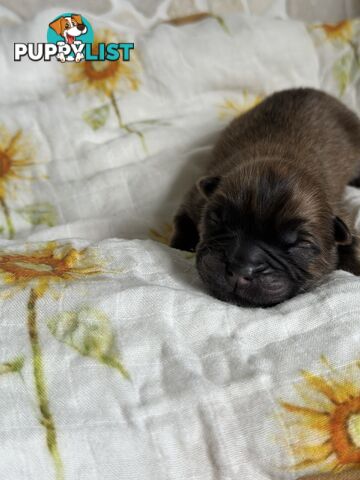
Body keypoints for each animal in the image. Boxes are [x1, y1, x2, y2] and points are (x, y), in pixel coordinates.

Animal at [170, 87, 360, 308]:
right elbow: (182, 220)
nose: (240, 270)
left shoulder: (342, 216)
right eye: (218, 219)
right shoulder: (195, 198)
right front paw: (183, 244)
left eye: (300, 245)